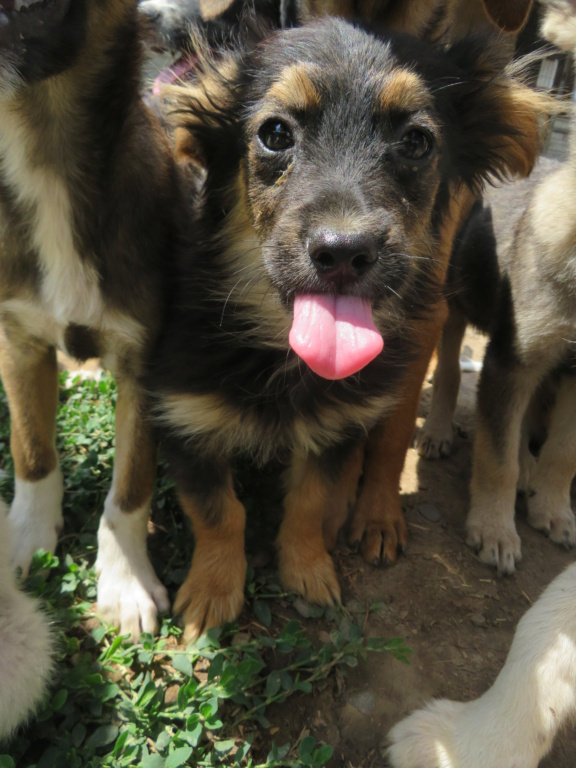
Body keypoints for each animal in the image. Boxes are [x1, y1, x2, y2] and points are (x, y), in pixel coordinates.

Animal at [0, 0, 182, 636]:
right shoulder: (18, 342)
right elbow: (31, 448)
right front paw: (25, 536)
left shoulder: (145, 364)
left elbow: (131, 484)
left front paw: (124, 579)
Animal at [148, 19, 548, 640]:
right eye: (275, 133)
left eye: (417, 141)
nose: (343, 251)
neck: (283, 356)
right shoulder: (184, 421)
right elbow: (219, 512)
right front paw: (212, 593)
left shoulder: (336, 427)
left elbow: (310, 502)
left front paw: (307, 570)